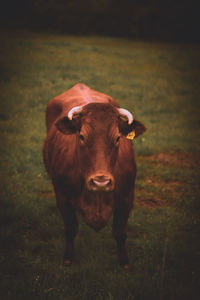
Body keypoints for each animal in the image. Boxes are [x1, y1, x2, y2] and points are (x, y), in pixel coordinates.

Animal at [43, 82, 146, 268]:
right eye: (82, 136)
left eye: (118, 138)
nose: (101, 182)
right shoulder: (62, 196)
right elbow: (71, 228)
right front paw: (68, 257)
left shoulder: (127, 197)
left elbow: (120, 232)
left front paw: (123, 262)